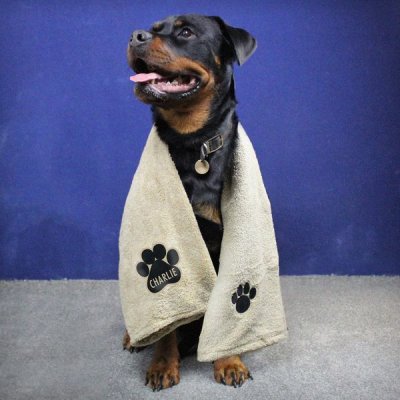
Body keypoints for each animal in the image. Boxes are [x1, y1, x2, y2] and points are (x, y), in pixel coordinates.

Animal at [123, 13, 258, 390]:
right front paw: (162, 364)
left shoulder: (227, 240)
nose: (135, 35)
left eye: (186, 32)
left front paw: (229, 360)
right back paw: (133, 336)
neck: (192, 142)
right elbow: (170, 318)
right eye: (154, 29)